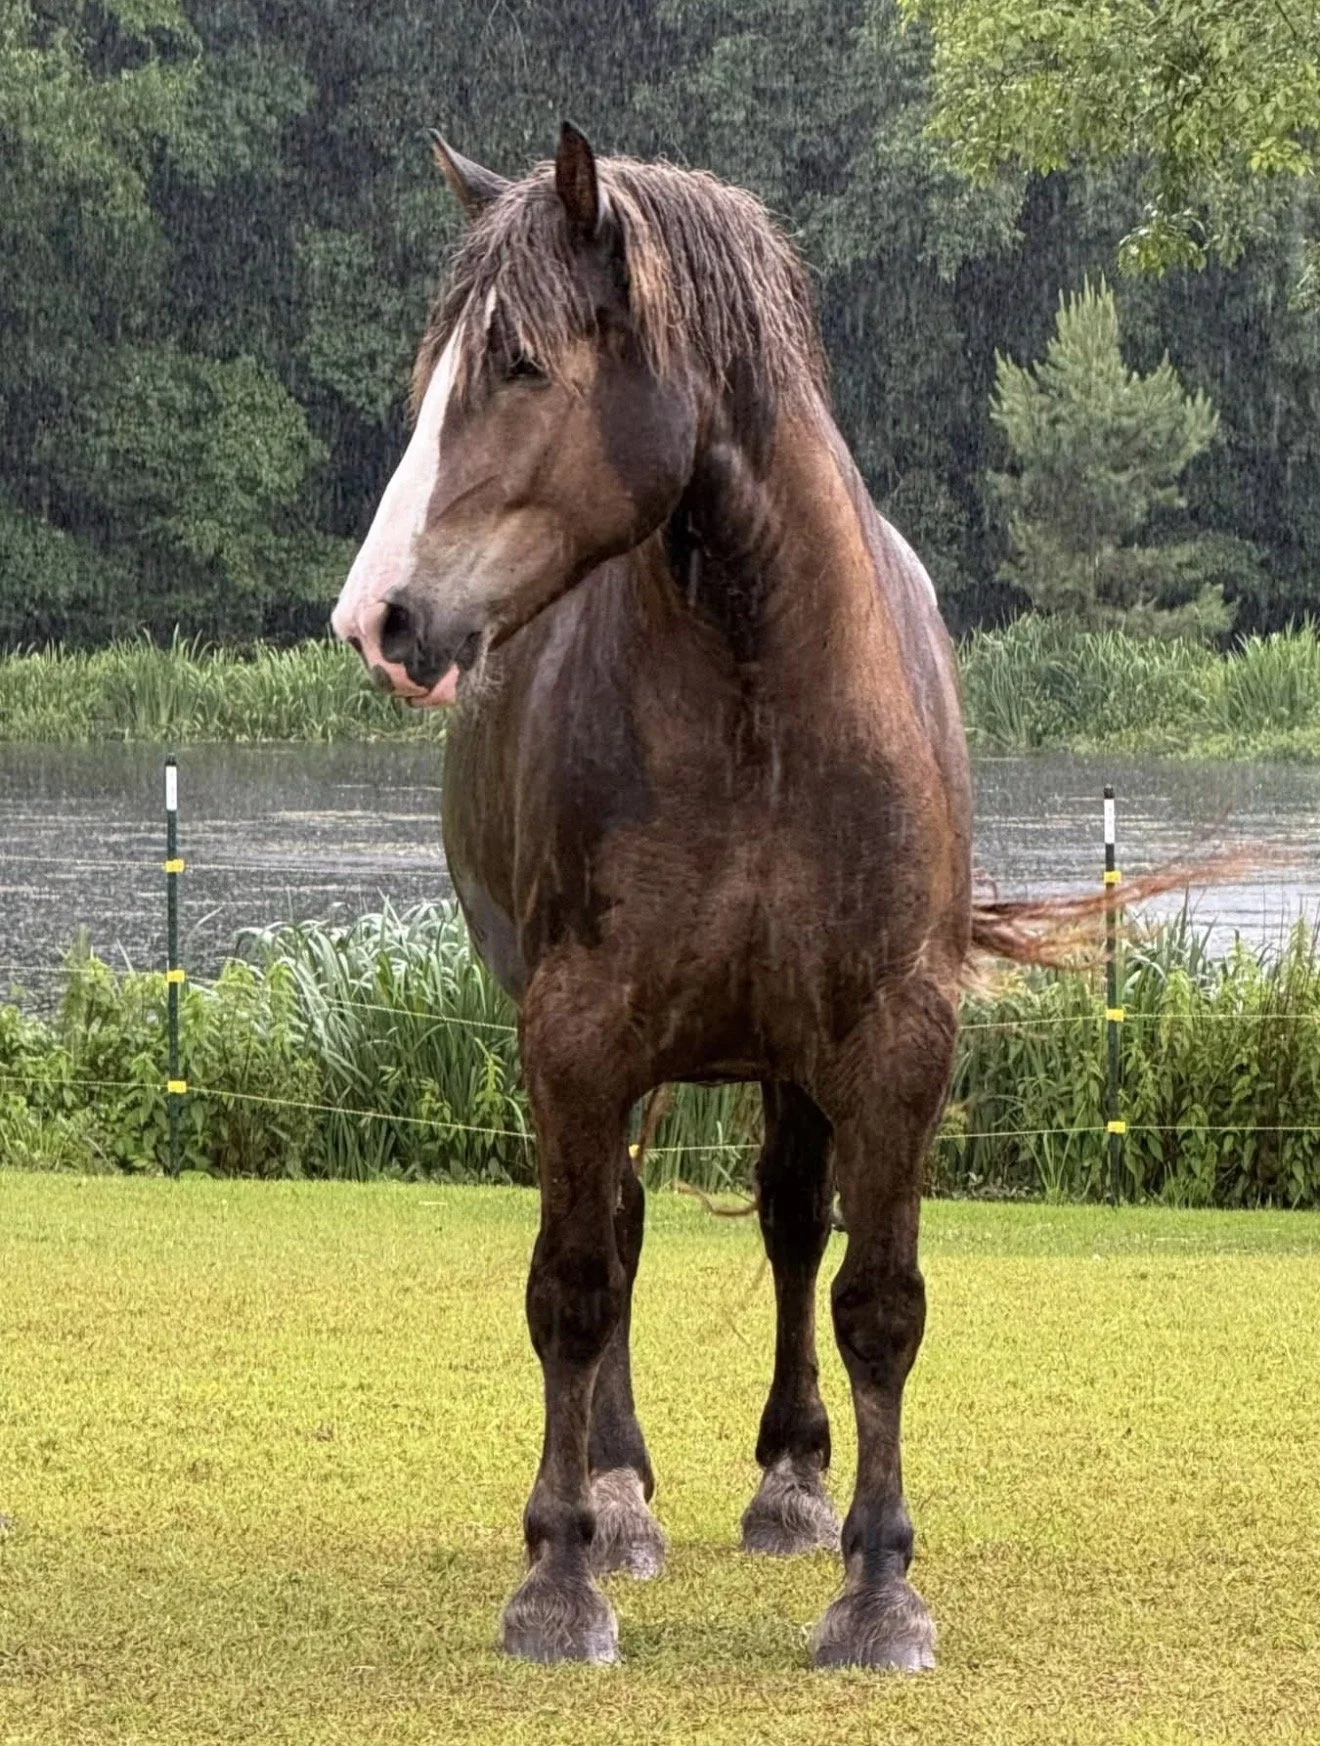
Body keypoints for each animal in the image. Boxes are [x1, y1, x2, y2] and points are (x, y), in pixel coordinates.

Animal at [333, 121, 1003, 1670]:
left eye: (518, 363)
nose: (376, 618)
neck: (762, 699)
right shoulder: (578, 1034)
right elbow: (576, 1286)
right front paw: (562, 1570)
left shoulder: (895, 1035)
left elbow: (877, 1300)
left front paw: (878, 1587)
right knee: (625, 1229)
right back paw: (622, 1496)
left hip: (792, 1058)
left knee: (790, 1221)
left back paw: (792, 1483)